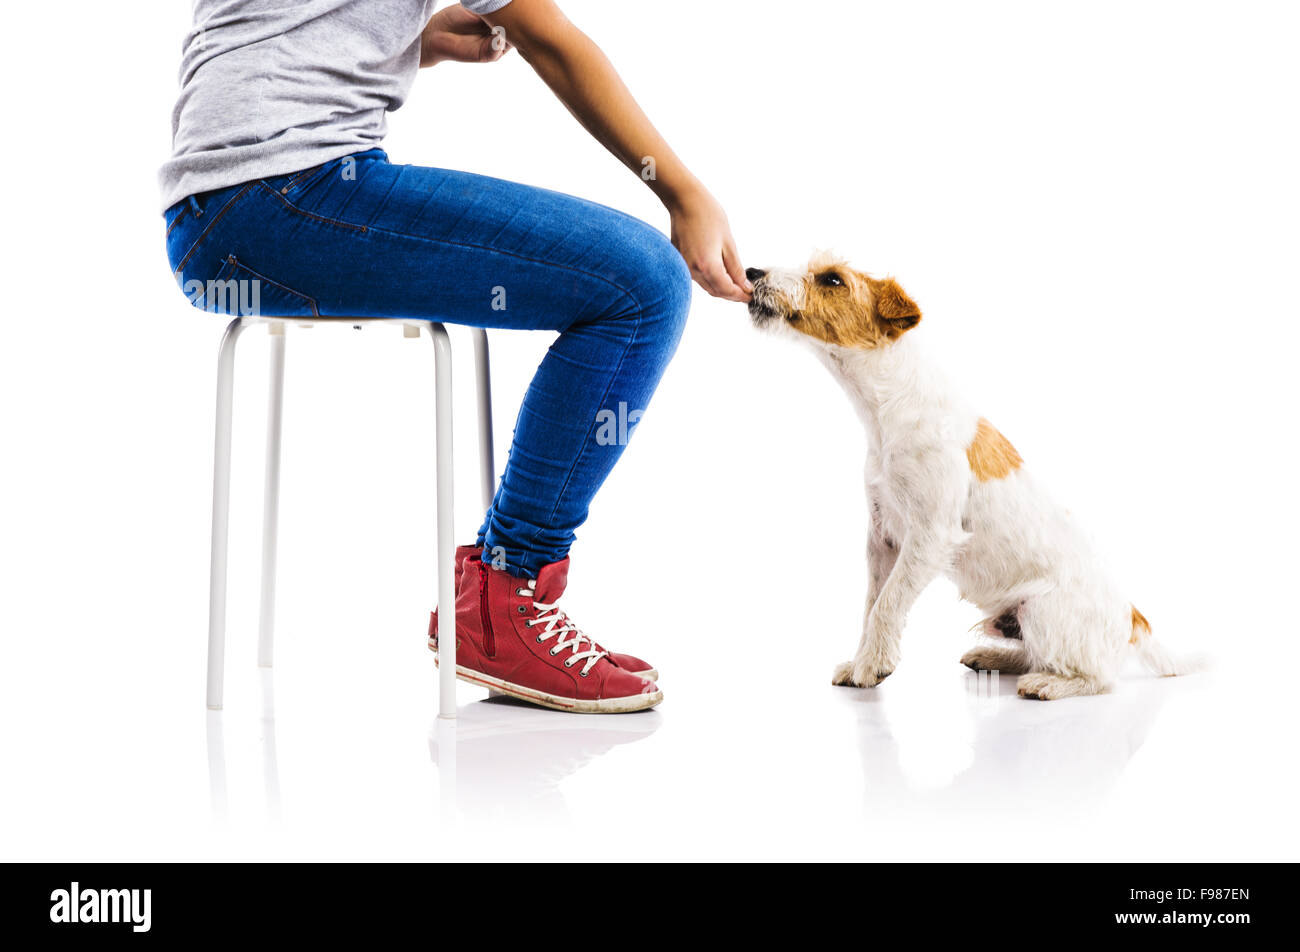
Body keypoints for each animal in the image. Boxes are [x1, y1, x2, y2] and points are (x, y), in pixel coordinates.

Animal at [748, 252, 1190, 697]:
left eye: (833, 280)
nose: (752, 273)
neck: (888, 411)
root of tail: (1134, 619)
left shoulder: (929, 536)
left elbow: (888, 603)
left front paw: (873, 666)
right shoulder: (882, 539)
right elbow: (872, 603)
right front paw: (860, 661)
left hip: (1040, 610)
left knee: (1097, 677)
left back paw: (1047, 684)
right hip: (1010, 619)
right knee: (1034, 654)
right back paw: (991, 656)